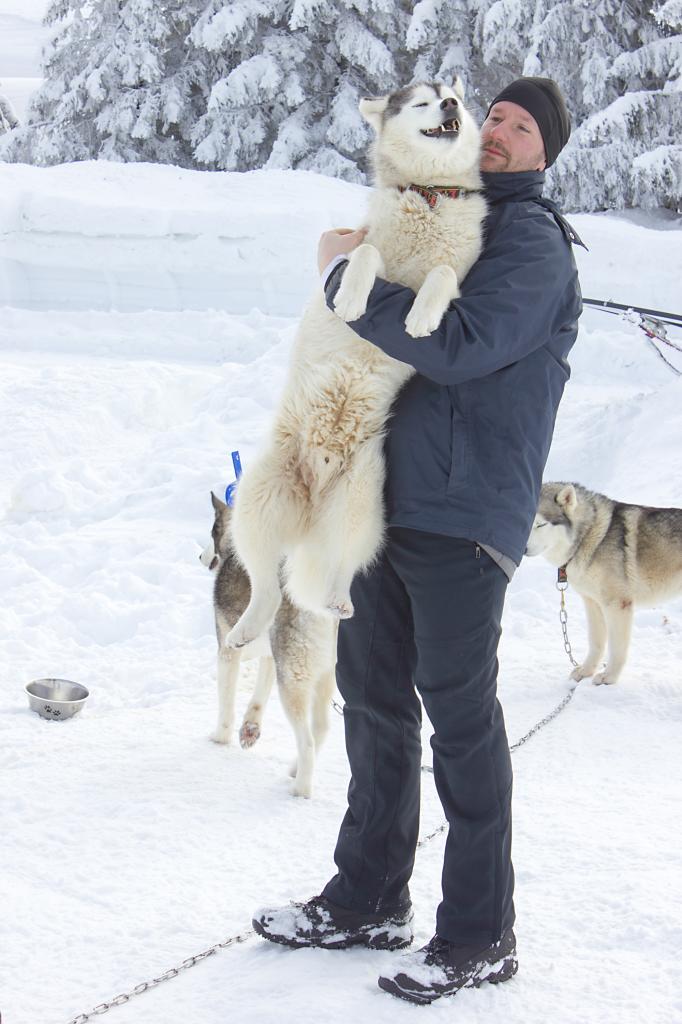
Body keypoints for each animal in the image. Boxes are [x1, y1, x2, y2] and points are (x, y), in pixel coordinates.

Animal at [199, 491, 337, 794]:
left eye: (212, 531)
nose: (200, 556)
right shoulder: (269, 658)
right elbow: (258, 697)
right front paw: (249, 729)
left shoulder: (227, 651)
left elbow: (226, 704)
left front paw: (220, 737)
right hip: (322, 674)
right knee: (322, 728)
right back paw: (295, 769)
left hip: (293, 680)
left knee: (307, 742)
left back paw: (300, 789)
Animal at [227, 79, 483, 643]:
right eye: (423, 101)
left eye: (450, 96)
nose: (451, 103)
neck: (429, 195)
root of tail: (311, 500)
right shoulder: (367, 241)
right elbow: (363, 256)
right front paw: (347, 300)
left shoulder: (459, 273)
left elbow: (441, 277)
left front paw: (420, 318)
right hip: (254, 501)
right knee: (265, 582)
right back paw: (248, 626)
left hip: (361, 503)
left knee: (343, 566)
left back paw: (339, 600)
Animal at [524, 481, 679, 688]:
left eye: (540, 524)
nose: (523, 549)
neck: (591, 536)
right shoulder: (592, 603)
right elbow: (596, 642)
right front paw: (585, 671)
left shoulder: (617, 605)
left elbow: (616, 648)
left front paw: (609, 678)